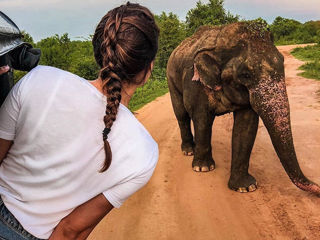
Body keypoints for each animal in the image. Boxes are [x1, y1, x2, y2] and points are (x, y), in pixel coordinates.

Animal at [166, 21, 320, 195]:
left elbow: (246, 126)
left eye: (282, 63)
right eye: (246, 75)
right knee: (181, 114)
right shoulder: (196, 84)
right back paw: (188, 151)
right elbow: (202, 119)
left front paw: (245, 187)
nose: (317, 187)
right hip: (171, 78)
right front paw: (203, 168)